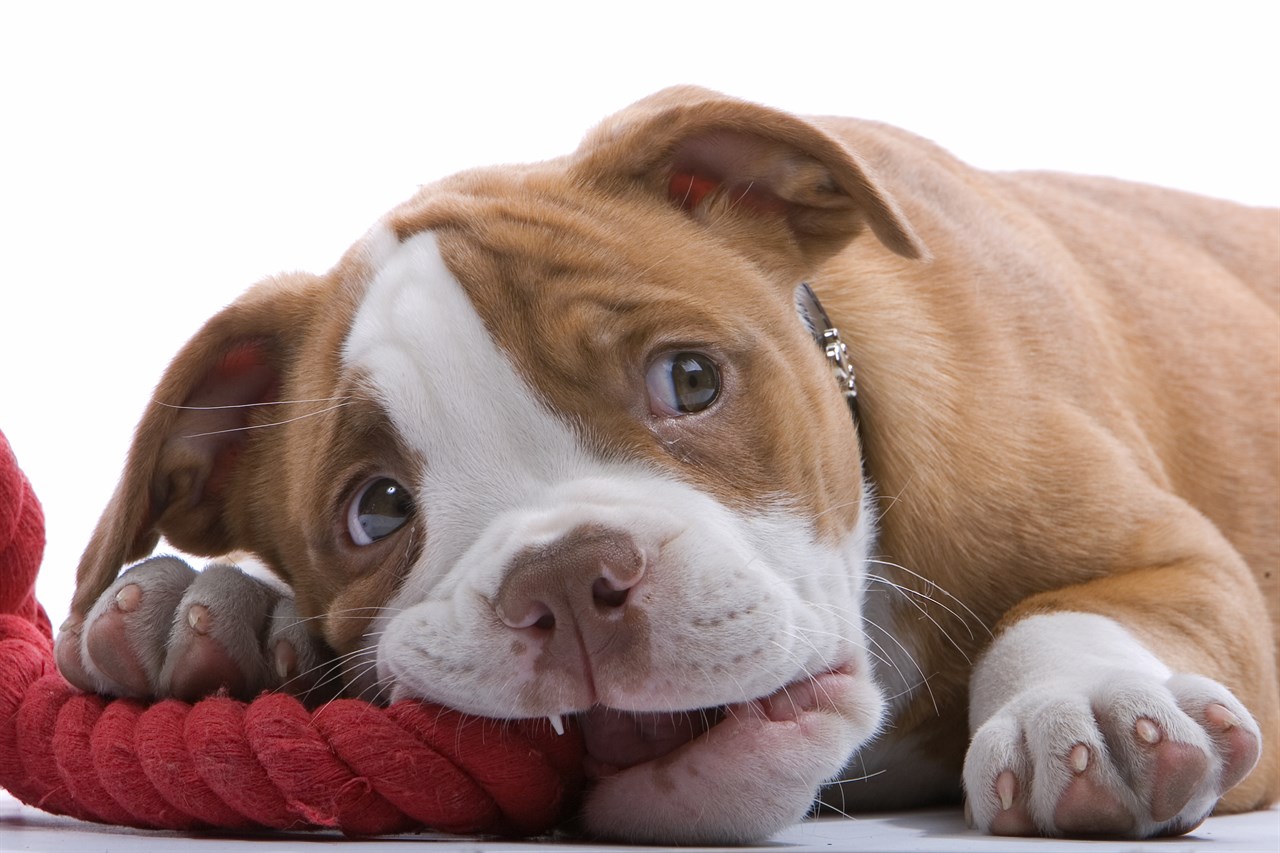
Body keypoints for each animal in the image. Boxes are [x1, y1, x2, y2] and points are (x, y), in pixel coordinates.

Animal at [52, 86, 1280, 835]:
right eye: (377, 511)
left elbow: (1061, 612)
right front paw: (212, 606)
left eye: (688, 381)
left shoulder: (1180, 561)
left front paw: (1089, 704)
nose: (563, 577)